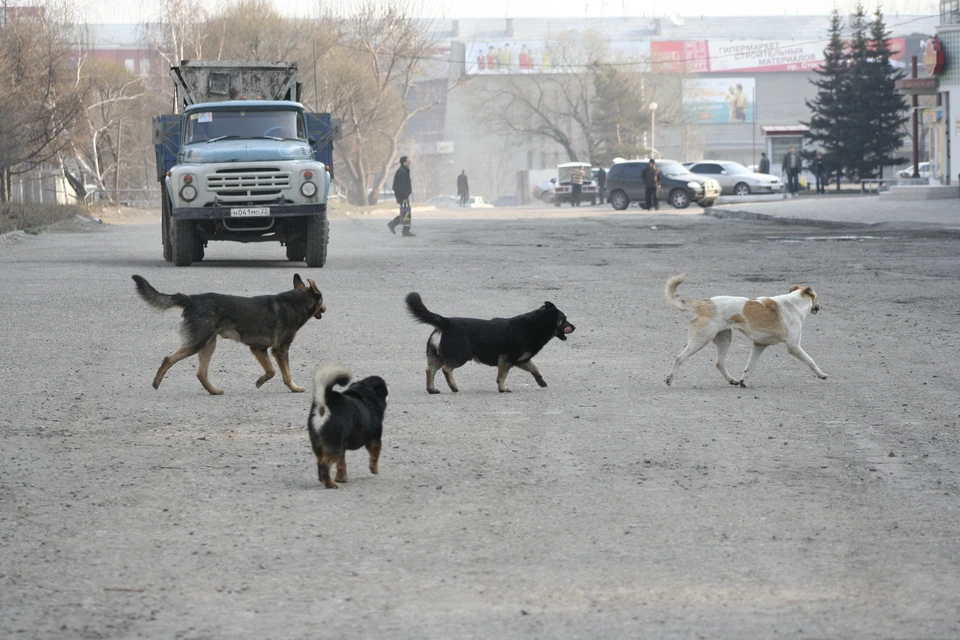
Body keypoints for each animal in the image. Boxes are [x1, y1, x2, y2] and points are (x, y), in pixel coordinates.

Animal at [131, 274, 328, 396]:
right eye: (322, 299)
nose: (326, 309)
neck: (296, 302)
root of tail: (192, 299)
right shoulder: (280, 350)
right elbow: (285, 373)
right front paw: (294, 388)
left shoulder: (258, 348)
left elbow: (271, 371)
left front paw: (260, 380)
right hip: (198, 343)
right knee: (168, 359)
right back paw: (156, 382)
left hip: (209, 345)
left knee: (201, 373)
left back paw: (214, 391)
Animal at [406, 292, 576, 392]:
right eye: (564, 318)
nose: (574, 327)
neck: (535, 324)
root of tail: (445, 322)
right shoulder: (506, 359)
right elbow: (502, 375)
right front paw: (503, 388)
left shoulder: (521, 360)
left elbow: (535, 368)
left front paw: (541, 381)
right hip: (460, 356)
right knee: (446, 369)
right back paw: (453, 386)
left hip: (437, 357)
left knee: (430, 370)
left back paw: (432, 389)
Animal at [668, 274, 824, 388]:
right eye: (817, 297)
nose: (819, 307)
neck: (793, 303)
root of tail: (704, 303)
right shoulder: (794, 346)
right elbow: (810, 361)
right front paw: (821, 374)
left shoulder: (759, 345)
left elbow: (750, 366)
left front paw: (743, 381)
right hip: (701, 340)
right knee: (679, 358)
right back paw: (670, 379)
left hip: (725, 339)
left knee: (719, 363)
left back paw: (732, 380)